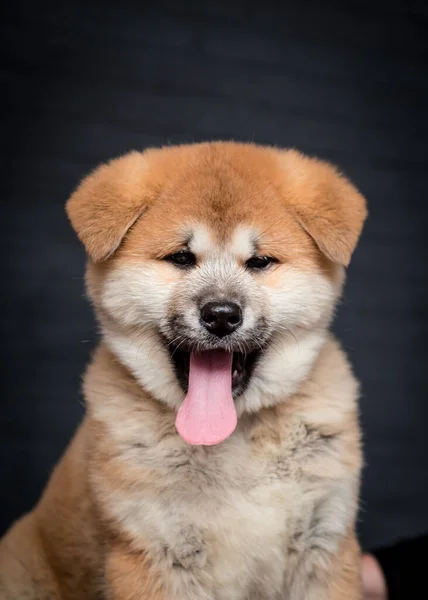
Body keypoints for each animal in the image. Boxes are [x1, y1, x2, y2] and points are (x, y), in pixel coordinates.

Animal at [0, 142, 368, 600]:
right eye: (180, 258)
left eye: (260, 262)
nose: (221, 314)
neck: (235, 443)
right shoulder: (151, 550)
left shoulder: (324, 539)